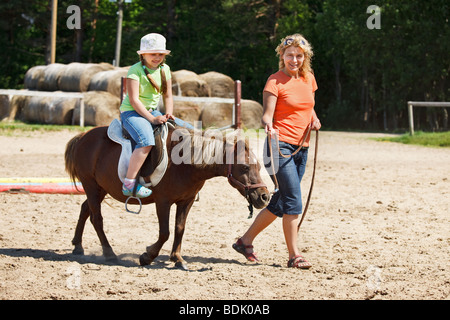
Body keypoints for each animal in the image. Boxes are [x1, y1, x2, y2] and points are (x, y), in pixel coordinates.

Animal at [64, 124, 268, 268]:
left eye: (259, 166)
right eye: (245, 167)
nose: (264, 196)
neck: (185, 163)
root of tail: (83, 136)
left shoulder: (186, 201)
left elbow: (179, 228)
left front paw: (177, 258)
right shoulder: (163, 202)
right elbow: (165, 232)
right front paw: (147, 256)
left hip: (101, 188)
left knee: (85, 209)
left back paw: (78, 246)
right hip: (91, 185)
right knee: (96, 218)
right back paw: (109, 253)